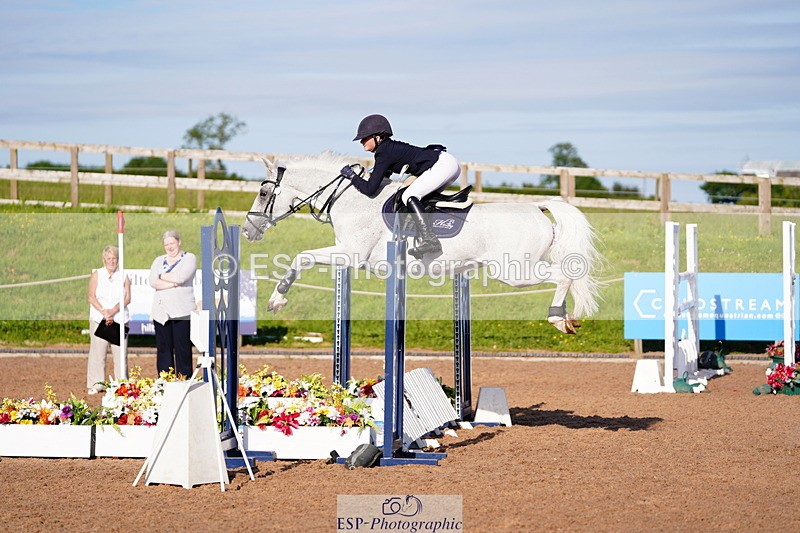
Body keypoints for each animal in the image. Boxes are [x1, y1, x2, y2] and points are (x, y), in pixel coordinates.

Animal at [242, 152, 602, 334]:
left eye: (263, 192)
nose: (248, 230)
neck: (351, 198)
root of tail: (537, 207)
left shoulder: (349, 255)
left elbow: (301, 257)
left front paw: (276, 300)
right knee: (566, 276)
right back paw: (568, 317)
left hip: (514, 271)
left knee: (562, 276)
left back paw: (557, 318)